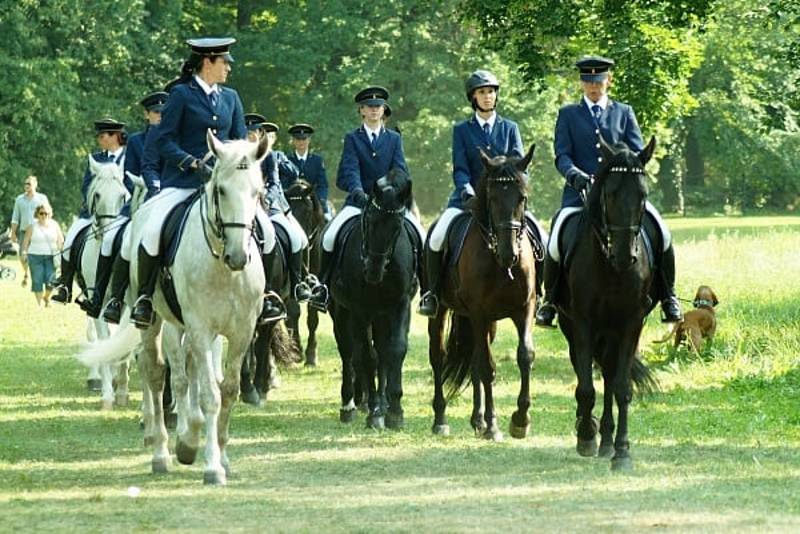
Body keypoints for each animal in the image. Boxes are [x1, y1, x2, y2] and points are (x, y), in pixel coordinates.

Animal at [330, 170, 418, 430]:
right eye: (369, 219)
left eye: (397, 226)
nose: (372, 272)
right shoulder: (360, 309)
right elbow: (367, 357)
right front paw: (374, 413)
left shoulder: (400, 305)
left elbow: (395, 350)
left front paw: (395, 411)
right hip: (343, 312)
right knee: (349, 352)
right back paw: (349, 405)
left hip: (381, 316)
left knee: (381, 352)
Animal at [428, 144, 536, 442]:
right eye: (493, 198)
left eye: (522, 197)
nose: (509, 254)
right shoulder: (478, 313)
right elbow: (488, 368)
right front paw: (494, 426)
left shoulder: (524, 308)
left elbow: (525, 356)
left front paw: (520, 419)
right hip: (442, 311)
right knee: (438, 357)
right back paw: (441, 420)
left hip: (489, 324)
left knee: (475, 361)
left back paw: (477, 420)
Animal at [556, 136, 664, 472]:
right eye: (611, 193)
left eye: (643, 194)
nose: (624, 256)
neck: (610, 268)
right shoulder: (582, 324)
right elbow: (585, 387)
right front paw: (586, 437)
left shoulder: (632, 323)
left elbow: (621, 388)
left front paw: (622, 451)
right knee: (589, 374)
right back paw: (591, 431)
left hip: (612, 333)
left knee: (608, 374)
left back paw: (606, 439)